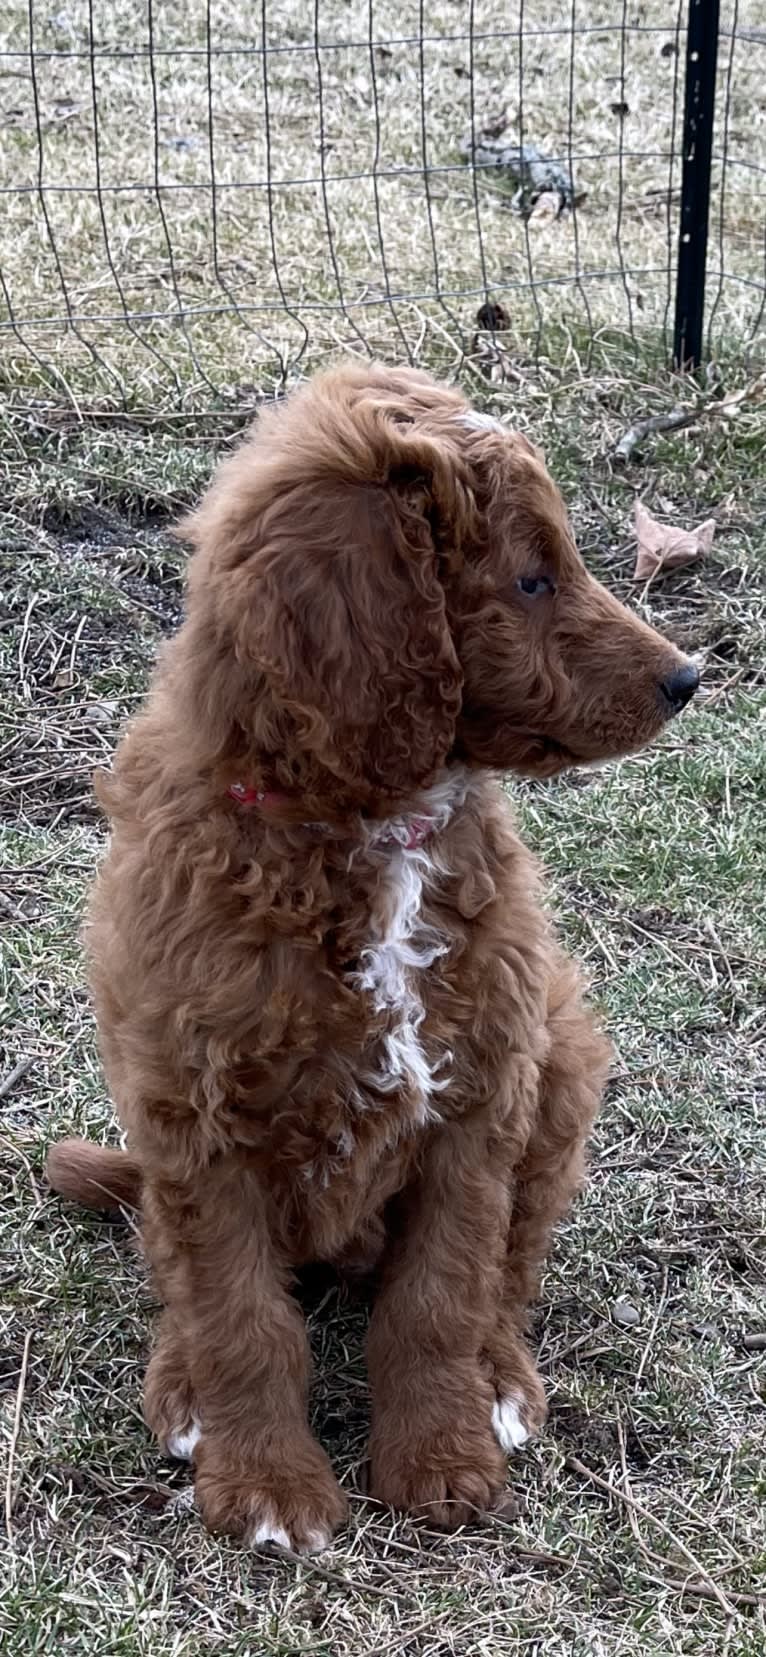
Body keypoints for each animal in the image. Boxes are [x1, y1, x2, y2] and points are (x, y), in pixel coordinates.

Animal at [44, 356, 696, 1544]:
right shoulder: (195, 1117)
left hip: (564, 1062)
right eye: (532, 580)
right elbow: (238, 1313)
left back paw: (501, 1379)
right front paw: (267, 1484)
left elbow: (442, 1295)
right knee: (177, 1285)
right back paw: (181, 1388)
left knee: (510, 1272)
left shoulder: (478, 1095)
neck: (370, 831)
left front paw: (440, 1457)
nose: (688, 677)